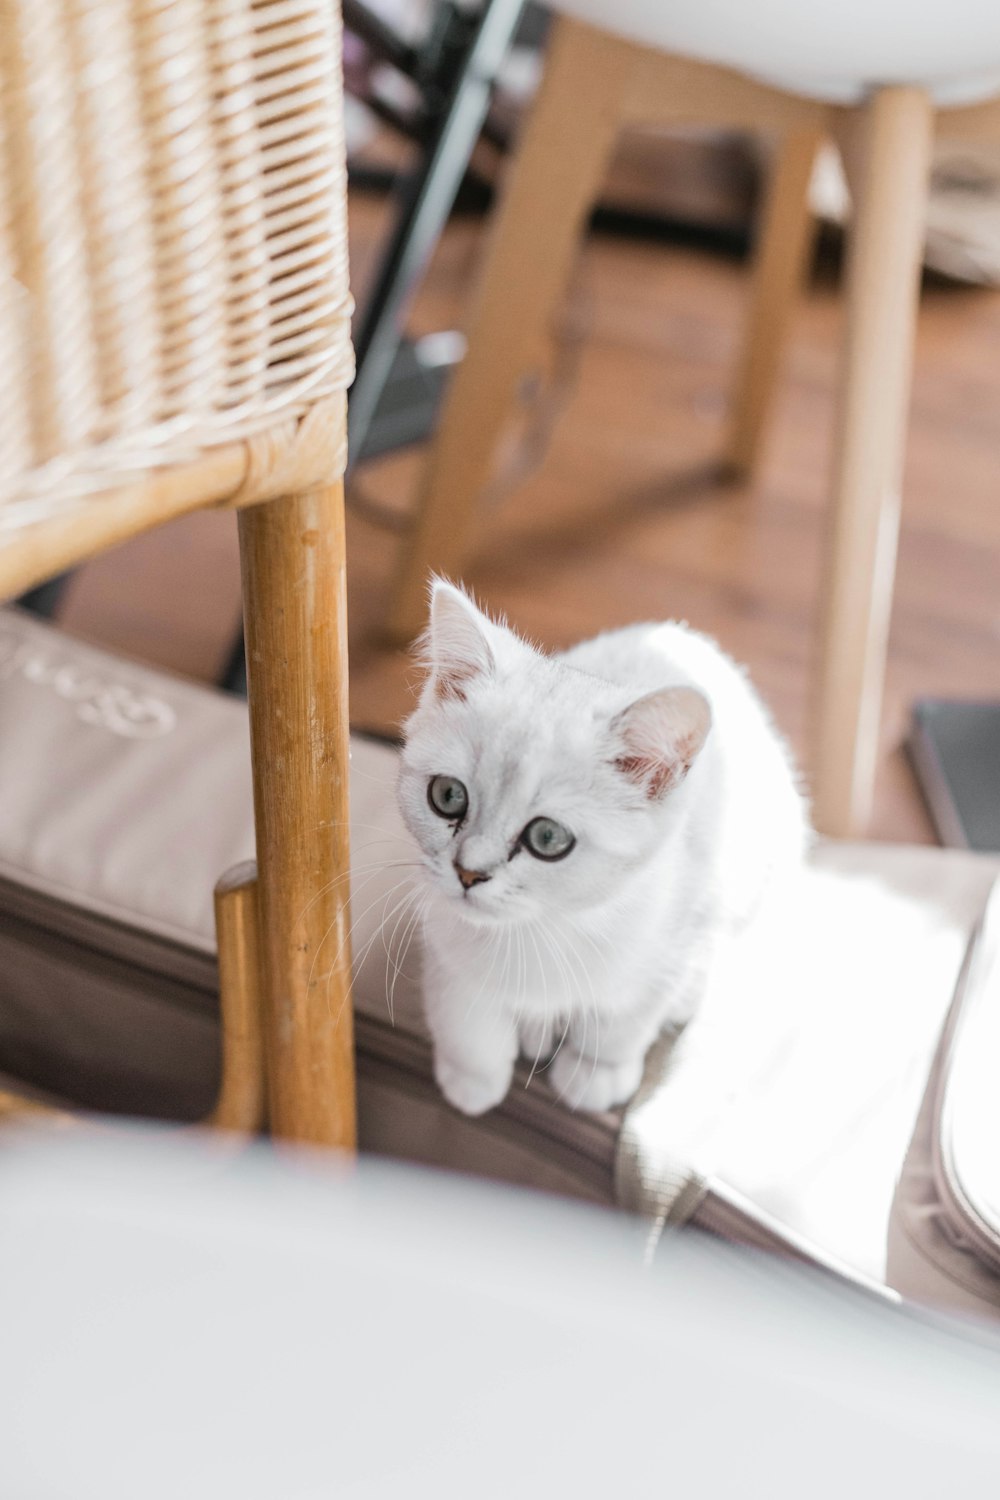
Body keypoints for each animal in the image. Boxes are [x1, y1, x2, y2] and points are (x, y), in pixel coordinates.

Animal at [395, 582, 809, 1116]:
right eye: (448, 796)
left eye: (548, 839)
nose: (468, 873)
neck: (537, 930)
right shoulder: (444, 942)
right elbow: (465, 1018)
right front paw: (471, 1078)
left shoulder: (674, 935)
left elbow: (622, 1021)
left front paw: (595, 1072)